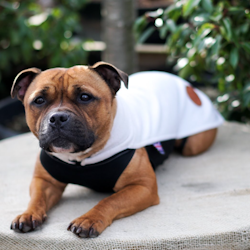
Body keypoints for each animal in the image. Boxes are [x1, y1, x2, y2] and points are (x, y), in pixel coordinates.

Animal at [9, 61, 224, 237]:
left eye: (85, 97)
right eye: (39, 100)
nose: (57, 117)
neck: (82, 158)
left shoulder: (142, 186)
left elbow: (110, 201)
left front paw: (89, 219)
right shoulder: (44, 181)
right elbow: (37, 198)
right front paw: (28, 214)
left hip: (193, 144)